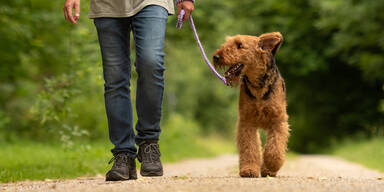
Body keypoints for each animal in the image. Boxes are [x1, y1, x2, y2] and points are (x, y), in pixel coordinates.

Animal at [212, 32, 290, 178]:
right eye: (227, 42)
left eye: (240, 45)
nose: (216, 57)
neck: (257, 86)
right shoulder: (247, 121)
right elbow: (250, 147)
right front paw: (248, 170)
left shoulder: (278, 120)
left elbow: (274, 148)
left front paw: (271, 166)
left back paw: (268, 170)